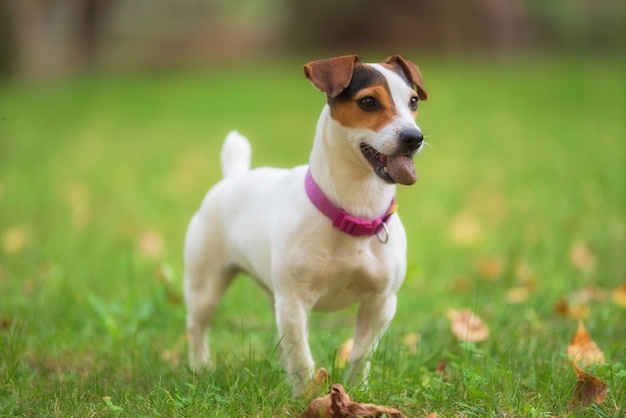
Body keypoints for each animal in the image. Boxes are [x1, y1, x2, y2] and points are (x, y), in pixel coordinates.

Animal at [183, 54, 426, 394]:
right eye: (368, 102)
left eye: (413, 101)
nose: (414, 138)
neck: (354, 215)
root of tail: (234, 176)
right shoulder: (294, 303)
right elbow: (303, 358)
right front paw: (307, 396)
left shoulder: (381, 303)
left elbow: (361, 353)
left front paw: (357, 391)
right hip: (204, 286)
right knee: (197, 326)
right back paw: (200, 367)